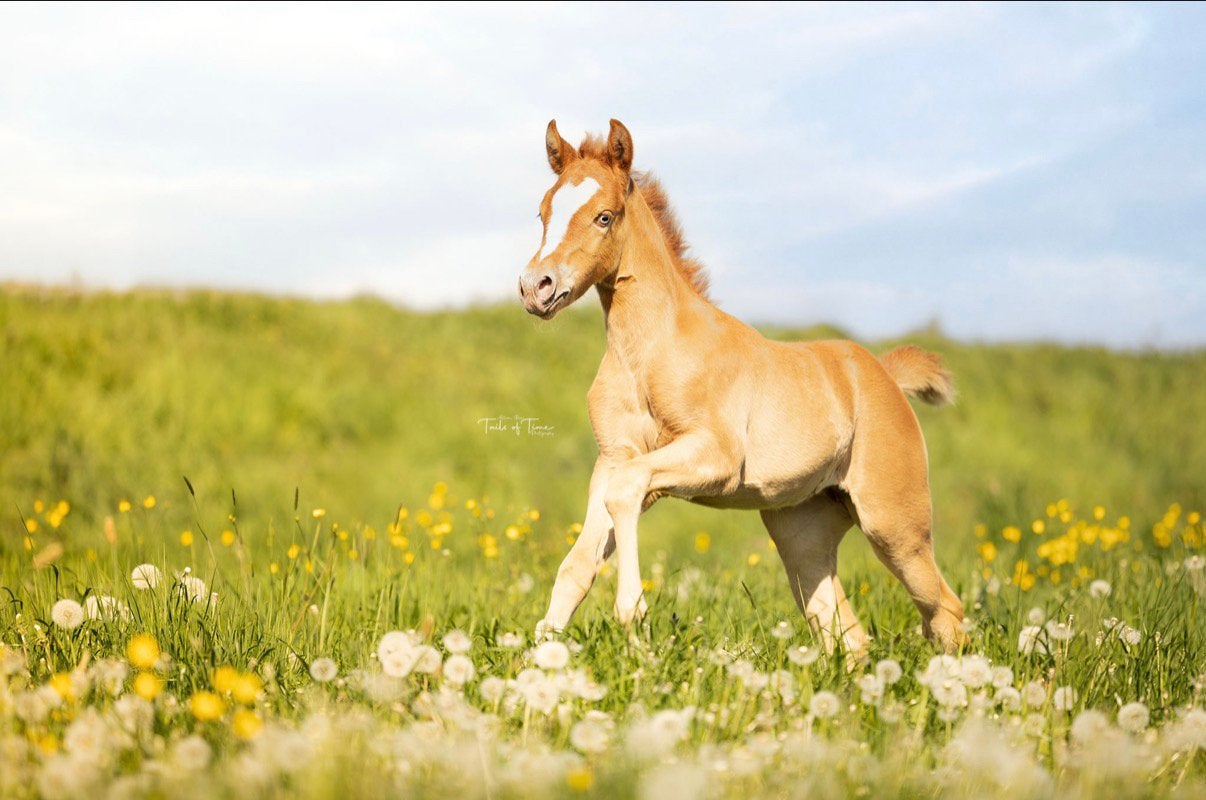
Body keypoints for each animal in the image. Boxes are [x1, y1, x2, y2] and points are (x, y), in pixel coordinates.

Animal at [518, 119, 966, 656]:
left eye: (604, 216)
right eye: (543, 211)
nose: (536, 287)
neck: (648, 354)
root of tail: (886, 375)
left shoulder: (713, 457)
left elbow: (626, 494)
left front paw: (633, 615)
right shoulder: (614, 459)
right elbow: (577, 566)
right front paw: (539, 661)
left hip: (895, 525)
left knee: (945, 610)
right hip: (802, 532)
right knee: (847, 632)